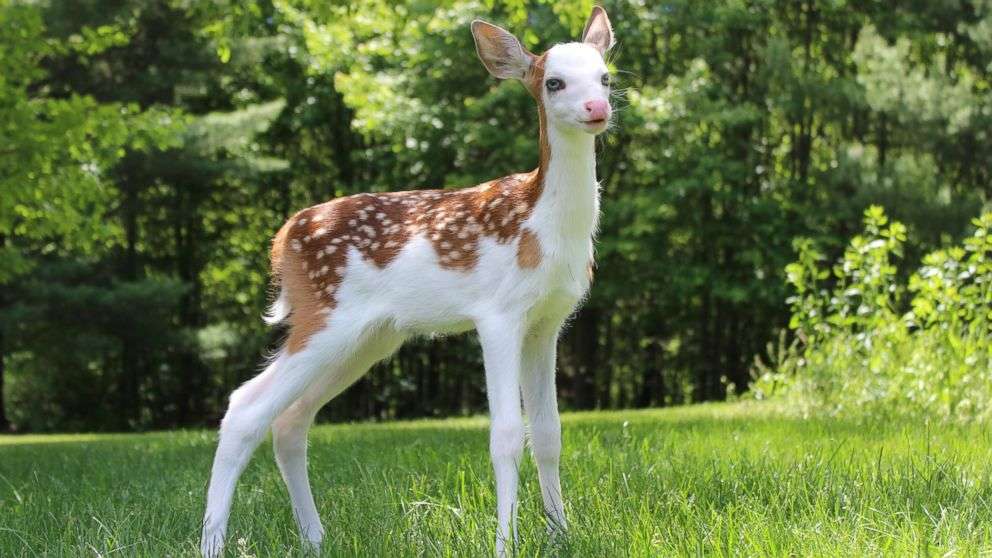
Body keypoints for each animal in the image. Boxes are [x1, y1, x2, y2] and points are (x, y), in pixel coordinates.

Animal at [201, 6, 612, 556]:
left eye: (605, 76)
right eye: (553, 82)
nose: (597, 107)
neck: (543, 224)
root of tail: (283, 237)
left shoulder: (547, 323)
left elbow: (548, 434)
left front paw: (561, 533)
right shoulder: (498, 313)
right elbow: (506, 434)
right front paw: (505, 543)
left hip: (368, 336)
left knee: (290, 419)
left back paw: (314, 538)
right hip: (326, 314)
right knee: (244, 408)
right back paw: (213, 542)